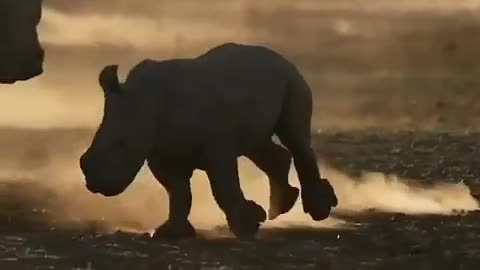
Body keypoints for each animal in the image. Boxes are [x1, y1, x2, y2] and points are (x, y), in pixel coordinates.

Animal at [79, 43, 338, 239]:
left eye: (120, 144)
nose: (94, 183)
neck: (145, 102)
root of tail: (279, 56)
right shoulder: (163, 152)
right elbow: (178, 191)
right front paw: (171, 232)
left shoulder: (217, 148)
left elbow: (223, 187)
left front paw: (248, 225)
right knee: (256, 145)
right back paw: (281, 206)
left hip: (291, 80)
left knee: (294, 137)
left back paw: (318, 210)